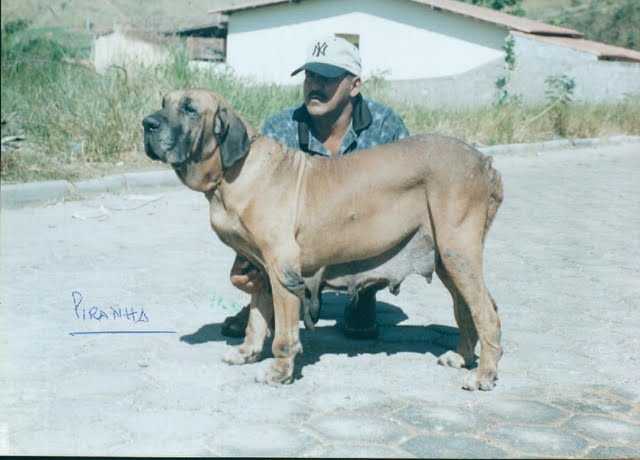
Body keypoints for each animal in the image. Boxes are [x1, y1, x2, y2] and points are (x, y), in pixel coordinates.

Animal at [144, 88, 504, 390]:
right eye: (163, 102)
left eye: (190, 108)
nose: (147, 123)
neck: (234, 171)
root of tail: (484, 161)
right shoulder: (261, 270)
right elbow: (257, 319)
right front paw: (246, 352)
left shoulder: (282, 269)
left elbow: (283, 334)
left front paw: (279, 372)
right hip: (445, 259)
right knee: (465, 309)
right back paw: (461, 357)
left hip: (457, 251)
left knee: (486, 312)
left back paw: (483, 375)